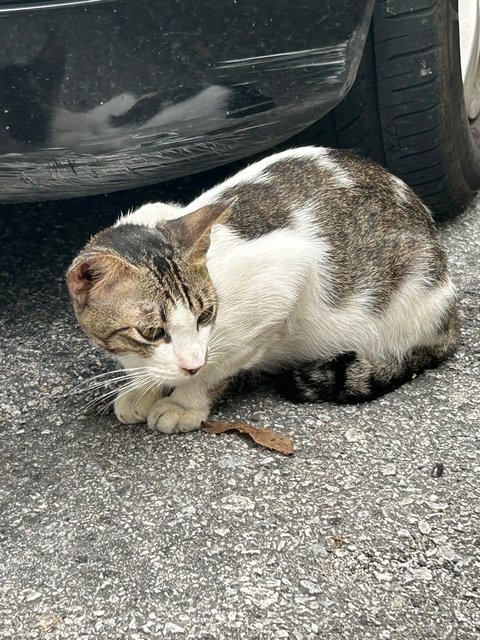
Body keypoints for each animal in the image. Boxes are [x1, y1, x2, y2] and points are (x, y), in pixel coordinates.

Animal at [65, 147, 460, 432]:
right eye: (151, 332)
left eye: (206, 315)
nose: (191, 364)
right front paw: (142, 387)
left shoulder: (287, 278)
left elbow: (220, 364)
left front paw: (184, 401)